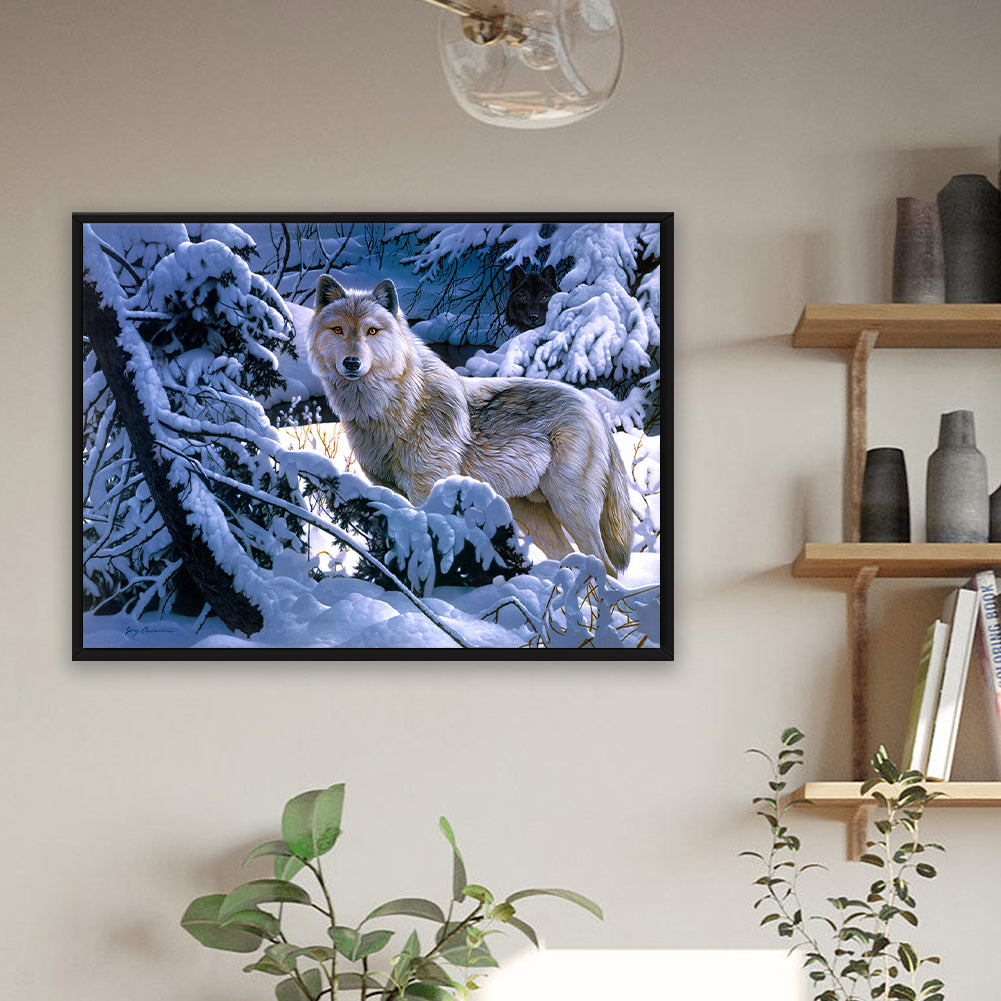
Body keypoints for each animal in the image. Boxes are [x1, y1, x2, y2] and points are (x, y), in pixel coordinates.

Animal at [305, 276, 633, 576]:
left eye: (371, 331)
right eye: (338, 329)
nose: (351, 363)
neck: (392, 408)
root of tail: (593, 407)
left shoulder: (427, 489)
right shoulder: (387, 490)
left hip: (571, 509)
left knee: (605, 566)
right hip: (532, 515)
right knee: (569, 558)